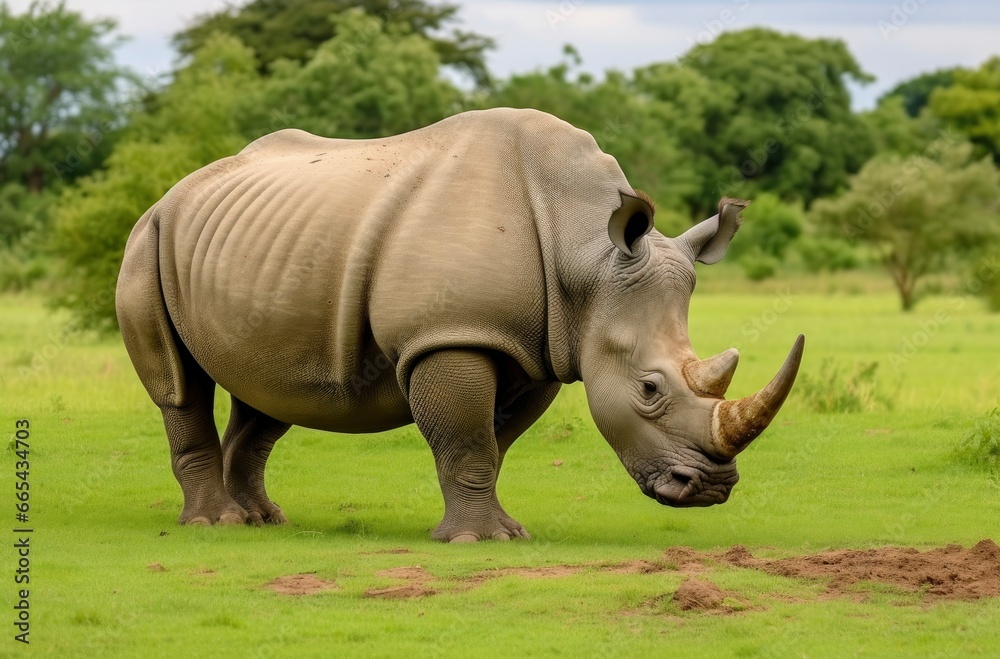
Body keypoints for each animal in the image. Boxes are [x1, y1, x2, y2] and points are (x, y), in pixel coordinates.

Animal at [116, 108, 804, 542]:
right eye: (649, 389)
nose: (710, 488)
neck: (585, 252)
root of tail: (172, 193)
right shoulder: (452, 334)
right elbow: (467, 438)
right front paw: (476, 541)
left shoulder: (535, 350)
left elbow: (493, 444)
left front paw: (505, 531)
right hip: (147, 241)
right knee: (179, 385)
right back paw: (215, 525)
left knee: (270, 391)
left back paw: (264, 521)